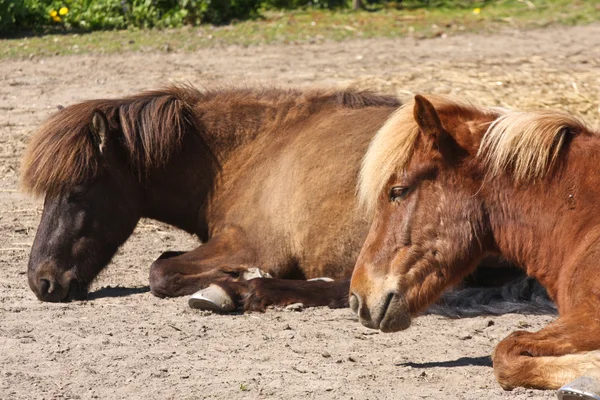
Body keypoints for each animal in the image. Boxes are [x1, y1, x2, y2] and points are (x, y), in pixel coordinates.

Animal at [22, 84, 548, 314]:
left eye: (75, 191)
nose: (41, 282)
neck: (251, 150)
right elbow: (166, 259)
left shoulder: (248, 244)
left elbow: (160, 272)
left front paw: (230, 284)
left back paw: (249, 291)